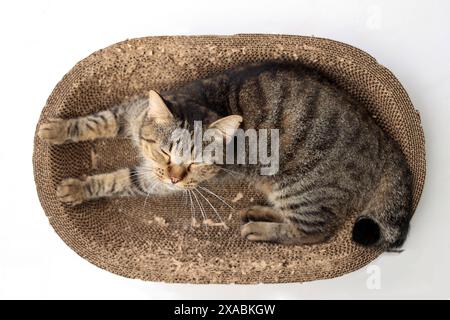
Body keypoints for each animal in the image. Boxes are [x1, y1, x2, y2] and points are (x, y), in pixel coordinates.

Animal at [37, 61, 414, 249]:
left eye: (196, 164)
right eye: (164, 151)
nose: (175, 178)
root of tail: (385, 143)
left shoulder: (152, 181)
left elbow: (118, 179)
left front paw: (77, 188)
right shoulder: (129, 112)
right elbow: (95, 121)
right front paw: (55, 130)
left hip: (301, 189)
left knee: (313, 233)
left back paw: (260, 229)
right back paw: (258, 211)